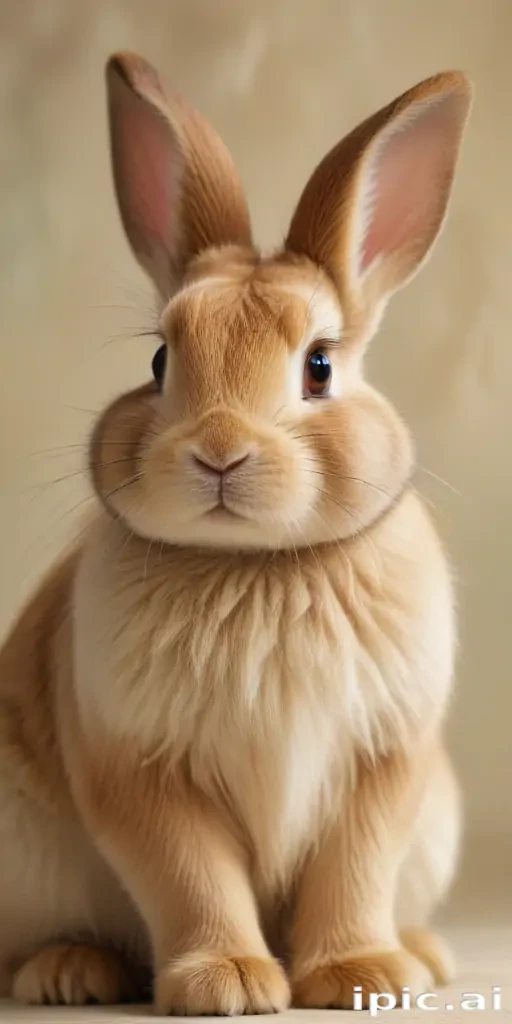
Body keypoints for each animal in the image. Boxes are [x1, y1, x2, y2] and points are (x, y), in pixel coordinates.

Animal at [0, 51, 471, 1014]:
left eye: (320, 365)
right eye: (159, 360)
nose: (219, 452)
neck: (256, 565)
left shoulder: (382, 766)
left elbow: (353, 870)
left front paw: (359, 978)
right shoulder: (141, 775)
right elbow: (190, 876)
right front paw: (230, 984)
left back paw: (421, 954)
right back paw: (68, 971)